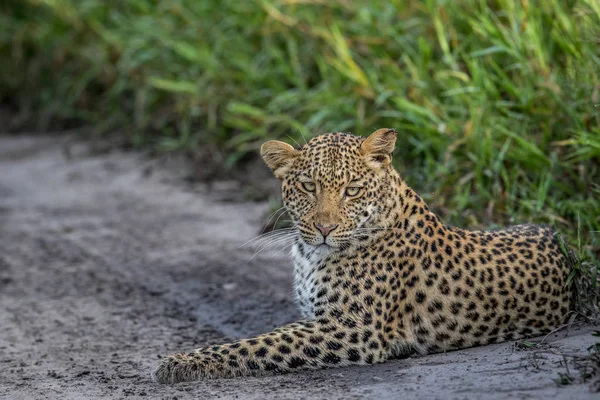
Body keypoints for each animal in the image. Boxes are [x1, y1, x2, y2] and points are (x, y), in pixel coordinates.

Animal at [152, 129, 576, 384]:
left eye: (352, 190)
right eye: (308, 187)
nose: (324, 228)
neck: (309, 255)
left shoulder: (353, 327)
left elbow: (259, 343)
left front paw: (180, 363)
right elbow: (266, 338)